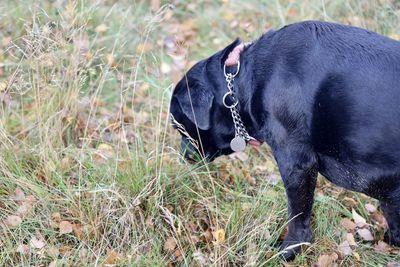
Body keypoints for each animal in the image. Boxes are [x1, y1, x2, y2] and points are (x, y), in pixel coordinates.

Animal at [169, 21, 400, 262]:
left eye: (178, 127)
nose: (183, 156)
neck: (241, 78)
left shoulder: (296, 165)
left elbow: (297, 216)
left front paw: (289, 249)